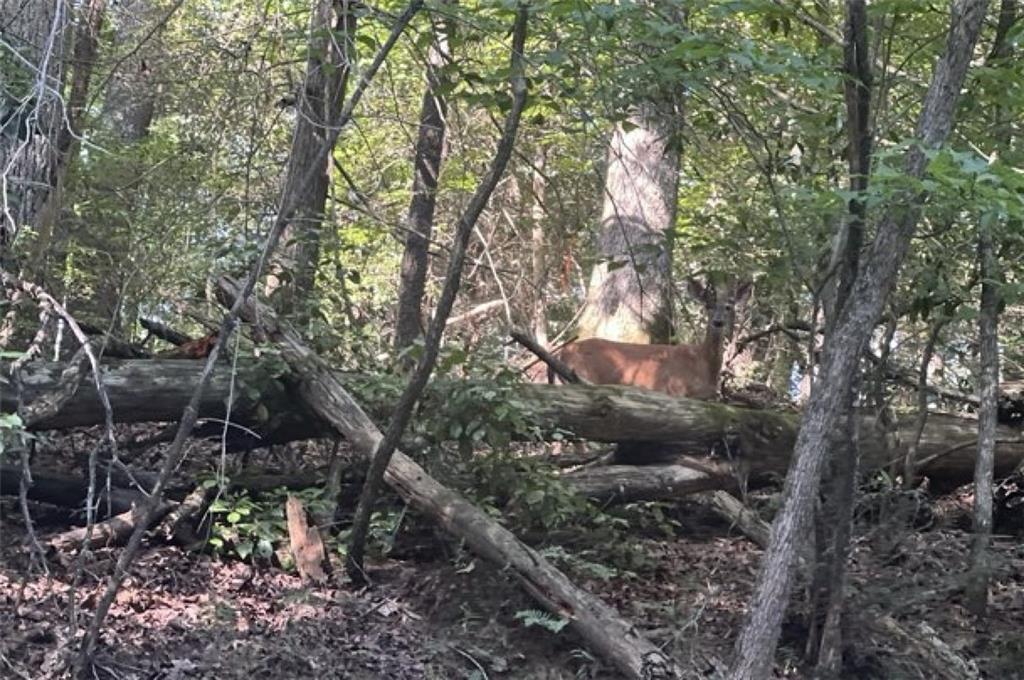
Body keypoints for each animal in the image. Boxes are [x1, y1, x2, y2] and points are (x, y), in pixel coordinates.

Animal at [557, 278, 749, 399]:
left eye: (728, 307)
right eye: (707, 306)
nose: (718, 322)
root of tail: (564, 351)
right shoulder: (674, 388)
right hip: (581, 374)